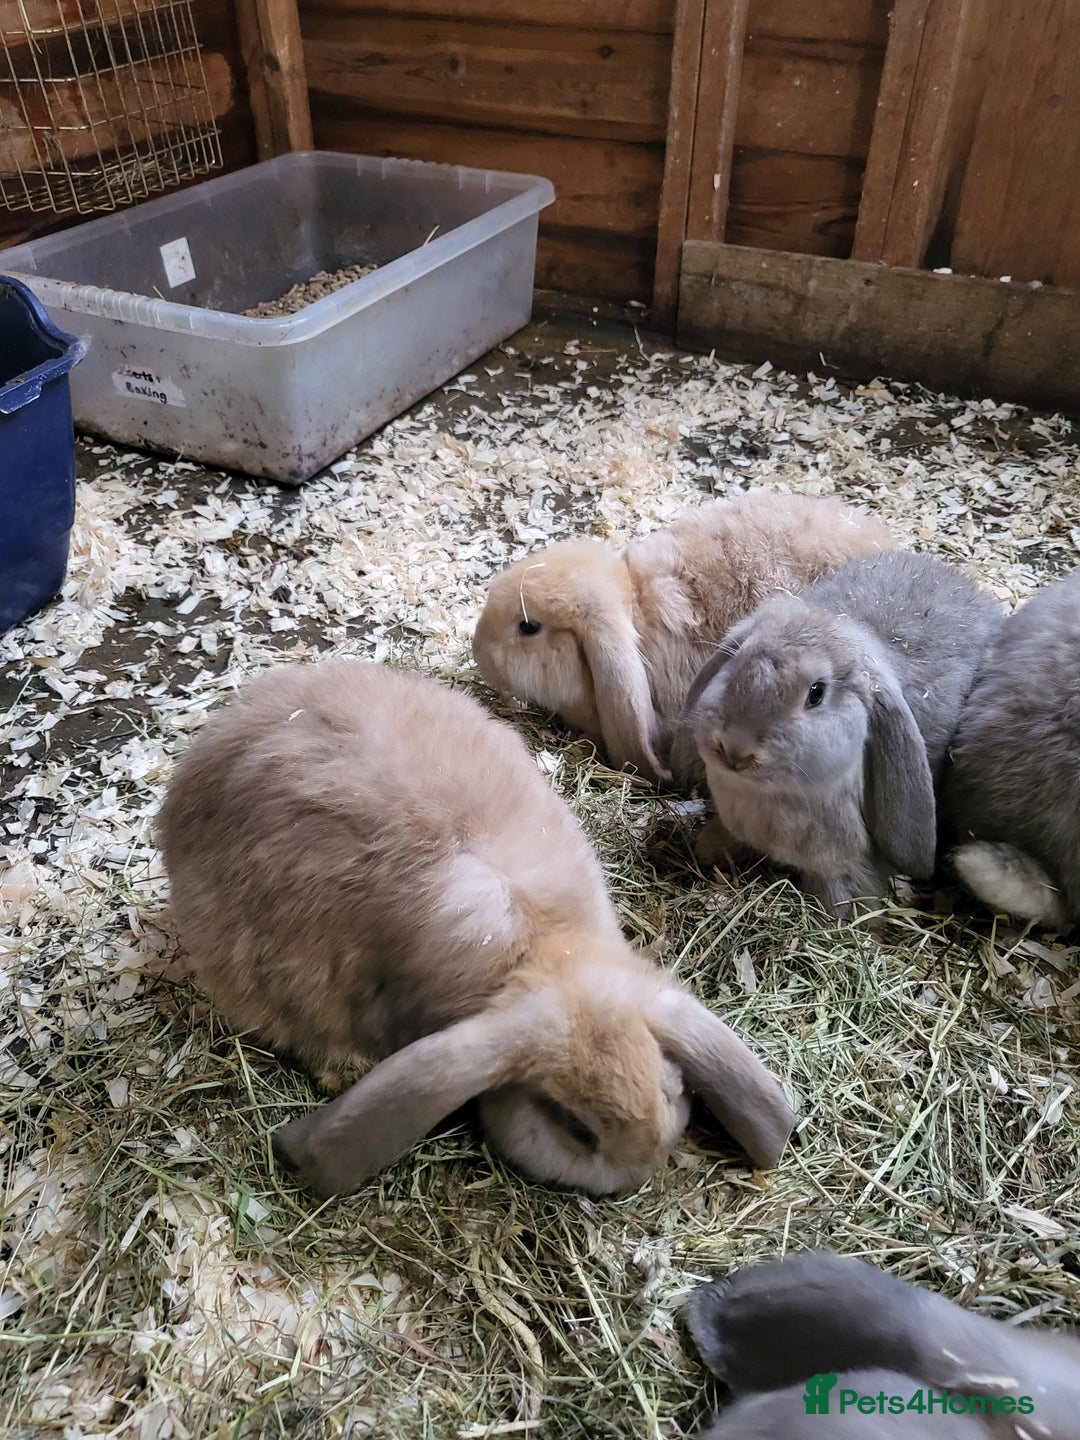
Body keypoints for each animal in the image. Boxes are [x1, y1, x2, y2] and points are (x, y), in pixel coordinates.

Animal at [671, 551, 1003, 916]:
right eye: (735, 664)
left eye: (816, 693)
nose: (735, 749)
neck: (769, 796)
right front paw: (707, 849)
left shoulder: (842, 864)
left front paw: (845, 918)